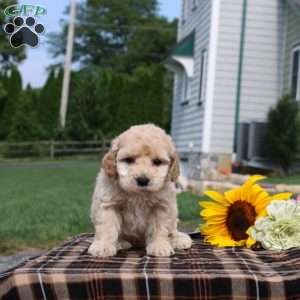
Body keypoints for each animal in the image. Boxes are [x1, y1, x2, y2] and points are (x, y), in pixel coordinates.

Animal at [88, 123, 193, 256]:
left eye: (157, 161)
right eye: (128, 160)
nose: (142, 180)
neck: (138, 194)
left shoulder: (162, 206)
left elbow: (159, 227)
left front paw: (159, 246)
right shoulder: (108, 204)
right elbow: (107, 226)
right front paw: (103, 246)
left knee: (172, 229)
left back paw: (178, 239)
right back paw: (120, 243)